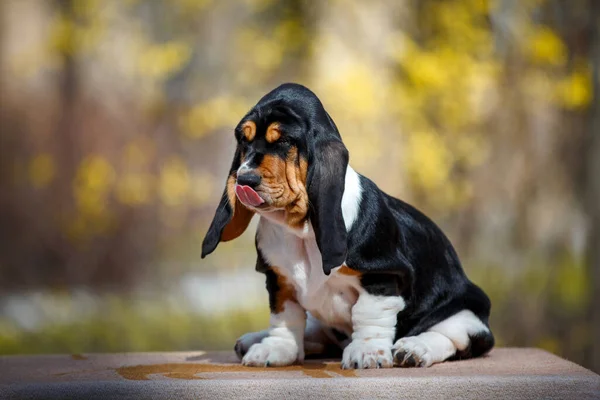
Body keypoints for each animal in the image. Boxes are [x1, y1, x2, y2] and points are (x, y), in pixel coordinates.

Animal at [199, 83, 494, 370]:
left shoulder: (382, 275)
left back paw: (413, 349)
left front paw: (367, 352)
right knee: (319, 331)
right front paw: (276, 348)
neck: (301, 230)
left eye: (282, 141)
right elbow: (285, 317)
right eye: (243, 141)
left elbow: (368, 315)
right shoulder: (279, 280)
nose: (244, 179)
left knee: (453, 337)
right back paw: (253, 339)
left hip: (466, 311)